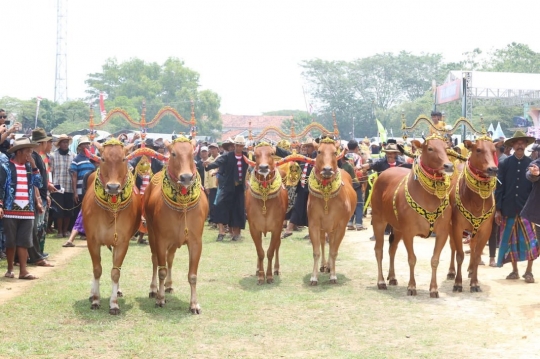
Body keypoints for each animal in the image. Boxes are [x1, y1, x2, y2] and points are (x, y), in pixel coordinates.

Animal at [82, 140, 141, 316]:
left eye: (123, 159)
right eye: (102, 158)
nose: (113, 187)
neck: (110, 211)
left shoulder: (122, 242)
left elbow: (115, 272)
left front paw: (114, 304)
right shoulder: (92, 241)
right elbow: (97, 269)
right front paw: (95, 299)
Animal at [142, 136, 208, 314]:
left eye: (192, 154)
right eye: (173, 154)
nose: (186, 177)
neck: (182, 206)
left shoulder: (196, 241)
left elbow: (192, 275)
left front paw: (194, 304)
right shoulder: (161, 239)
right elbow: (161, 270)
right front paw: (160, 298)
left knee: (170, 259)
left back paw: (169, 286)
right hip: (151, 233)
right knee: (155, 260)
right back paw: (153, 289)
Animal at [244, 142, 286, 286]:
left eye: (271, 153)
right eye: (256, 155)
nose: (263, 167)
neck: (264, 198)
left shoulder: (277, 227)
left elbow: (270, 252)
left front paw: (269, 276)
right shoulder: (253, 228)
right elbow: (260, 252)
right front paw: (261, 277)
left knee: (278, 245)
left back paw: (277, 269)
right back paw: (258, 270)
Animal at [306, 139, 356, 286]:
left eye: (334, 152)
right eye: (319, 151)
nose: (327, 170)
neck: (326, 196)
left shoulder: (341, 225)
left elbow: (334, 251)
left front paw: (333, 275)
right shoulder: (314, 224)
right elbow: (316, 251)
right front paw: (314, 277)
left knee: (332, 242)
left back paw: (329, 267)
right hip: (324, 227)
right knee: (324, 242)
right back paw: (324, 265)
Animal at [374, 135, 454, 298]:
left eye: (446, 148)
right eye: (430, 148)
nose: (448, 166)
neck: (428, 197)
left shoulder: (442, 233)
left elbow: (435, 260)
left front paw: (433, 289)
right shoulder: (408, 232)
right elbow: (412, 259)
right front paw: (411, 287)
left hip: (397, 228)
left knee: (392, 249)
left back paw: (392, 277)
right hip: (378, 221)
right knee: (379, 250)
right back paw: (381, 281)